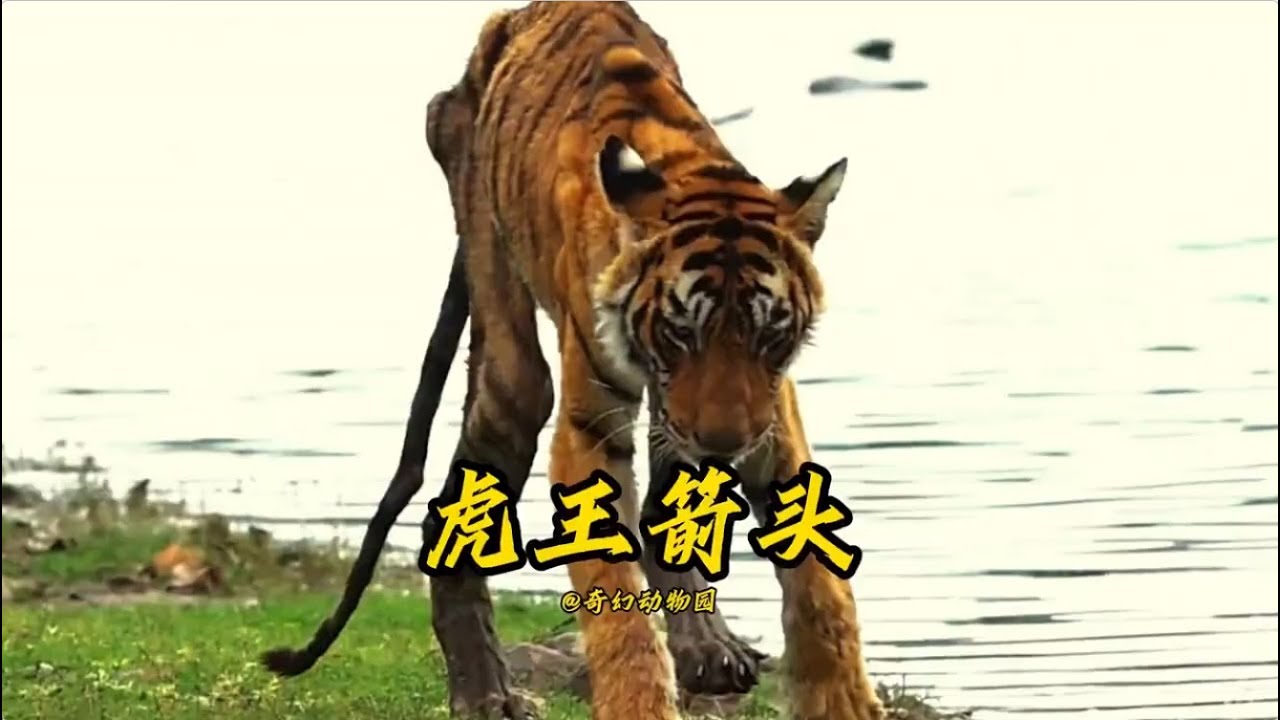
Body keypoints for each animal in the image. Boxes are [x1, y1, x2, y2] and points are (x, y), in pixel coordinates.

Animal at [261, 3, 883, 720]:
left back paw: (706, 645)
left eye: (769, 336)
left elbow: (819, 585)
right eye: (680, 333)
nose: (723, 444)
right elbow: (619, 609)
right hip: (510, 349)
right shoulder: (593, 423)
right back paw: (486, 691)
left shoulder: (769, 414)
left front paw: (843, 700)